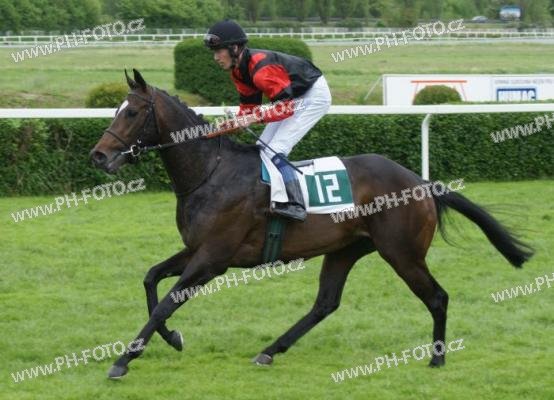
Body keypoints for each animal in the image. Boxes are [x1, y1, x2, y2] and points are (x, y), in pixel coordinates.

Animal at [90, 69, 534, 379]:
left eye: (132, 112)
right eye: (115, 110)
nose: (98, 155)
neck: (210, 172)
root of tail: (422, 183)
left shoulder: (213, 259)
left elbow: (166, 302)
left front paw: (123, 360)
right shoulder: (197, 251)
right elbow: (151, 280)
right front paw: (172, 339)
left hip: (401, 252)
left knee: (437, 298)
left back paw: (437, 360)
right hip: (346, 249)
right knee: (325, 303)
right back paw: (270, 350)